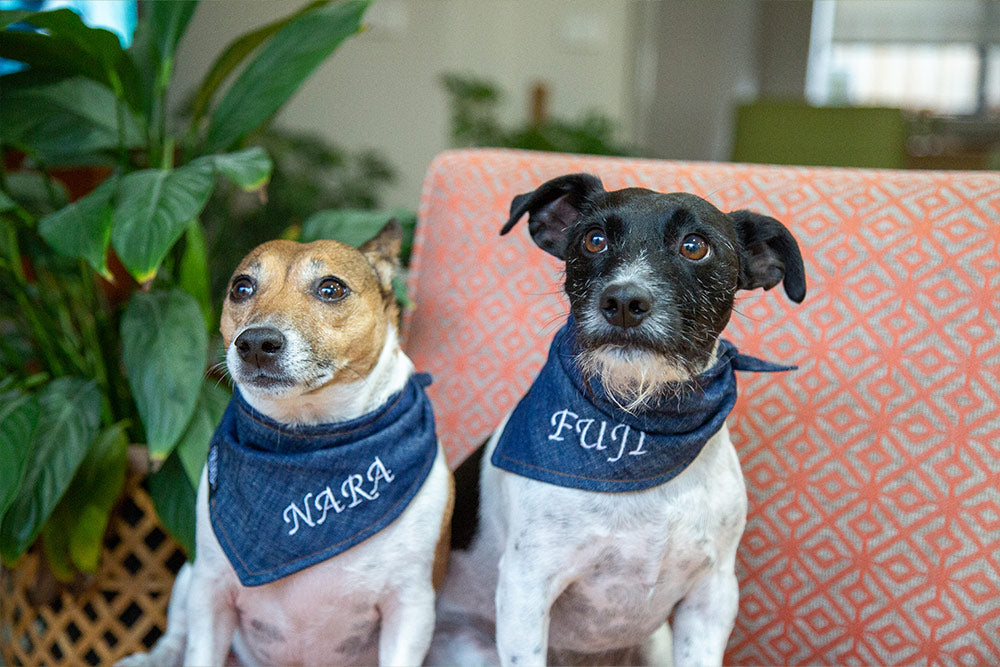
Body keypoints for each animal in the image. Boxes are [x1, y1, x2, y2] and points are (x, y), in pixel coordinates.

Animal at [118, 222, 458, 664]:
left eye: (331, 288)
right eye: (241, 288)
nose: (255, 343)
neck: (309, 440)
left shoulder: (411, 609)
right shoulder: (210, 591)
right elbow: (198, 650)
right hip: (190, 574)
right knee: (176, 635)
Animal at [430, 175, 804, 664]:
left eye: (694, 246)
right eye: (594, 239)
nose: (624, 300)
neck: (637, 424)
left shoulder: (713, 598)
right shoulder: (526, 590)